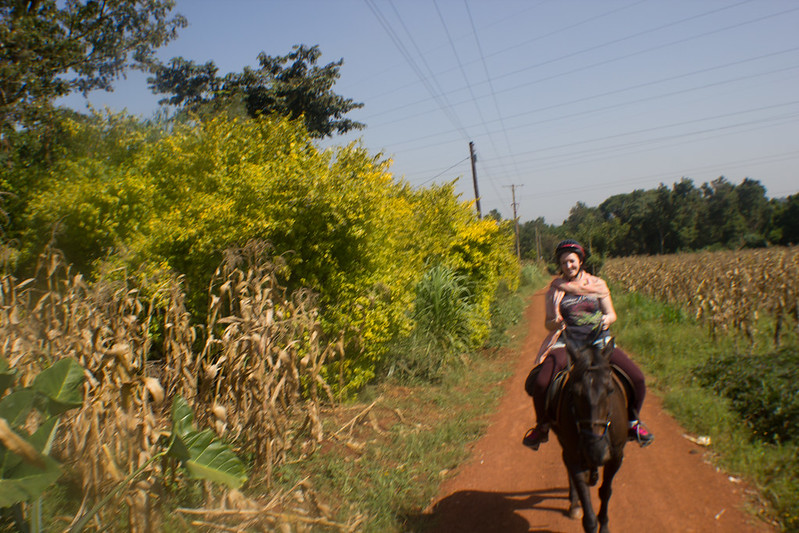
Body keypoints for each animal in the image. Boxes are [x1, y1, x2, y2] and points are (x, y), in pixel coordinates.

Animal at [552, 334, 628, 532]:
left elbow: (606, 491)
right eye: (574, 392)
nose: (597, 452)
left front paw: (605, 525)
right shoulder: (574, 455)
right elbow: (587, 509)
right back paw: (574, 504)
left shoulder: (616, 456)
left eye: (610, 390)